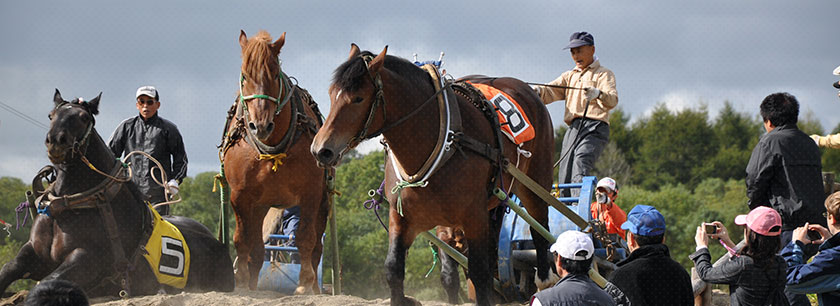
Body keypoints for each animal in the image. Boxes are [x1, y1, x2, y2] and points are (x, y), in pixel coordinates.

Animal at [0, 89, 235, 298]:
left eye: (84, 117)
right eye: (51, 115)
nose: (57, 141)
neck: (69, 207)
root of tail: (218, 244)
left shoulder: (87, 258)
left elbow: (50, 280)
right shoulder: (34, 253)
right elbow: (8, 269)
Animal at [218, 29, 330, 292]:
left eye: (274, 74)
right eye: (245, 75)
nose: (260, 126)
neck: (272, 148)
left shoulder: (311, 193)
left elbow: (306, 239)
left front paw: (305, 282)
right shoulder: (240, 196)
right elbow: (243, 241)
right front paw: (241, 281)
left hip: (323, 200)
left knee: (317, 246)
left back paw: (314, 286)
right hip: (259, 205)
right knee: (258, 248)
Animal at [312, 46, 556, 306]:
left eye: (358, 97)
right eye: (331, 94)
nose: (320, 150)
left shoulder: (474, 216)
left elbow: (479, 274)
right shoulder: (405, 218)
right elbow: (399, 270)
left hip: (534, 184)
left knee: (539, 230)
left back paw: (543, 279)